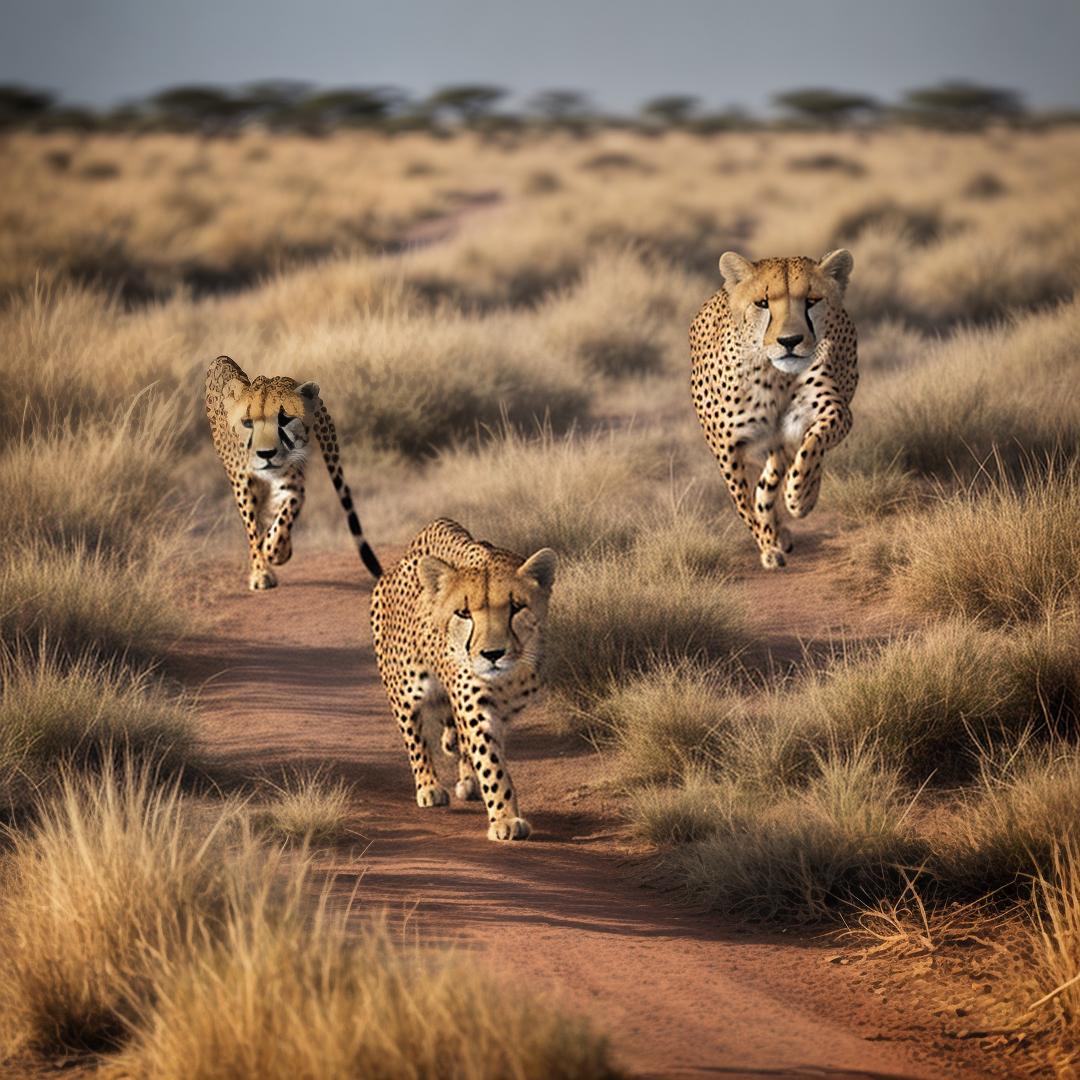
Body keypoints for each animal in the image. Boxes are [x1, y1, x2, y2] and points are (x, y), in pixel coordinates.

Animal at [206, 354, 384, 591]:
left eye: (285, 419)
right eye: (247, 422)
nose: (266, 454)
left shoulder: (291, 482)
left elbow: (284, 515)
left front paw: (276, 551)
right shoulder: (243, 483)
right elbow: (253, 526)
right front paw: (261, 571)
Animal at [371, 520, 557, 842]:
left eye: (516, 607)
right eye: (464, 613)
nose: (493, 654)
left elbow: (483, 751)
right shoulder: (473, 703)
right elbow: (491, 764)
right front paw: (505, 819)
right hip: (404, 687)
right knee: (414, 737)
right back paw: (429, 786)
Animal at [691, 249, 859, 570]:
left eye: (811, 301)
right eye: (762, 303)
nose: (789, 341)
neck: (774, 376)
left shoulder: (833, 411)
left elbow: (813, 444)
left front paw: (800, 496)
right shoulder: (726, 447)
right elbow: (742, 502)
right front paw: (768, 546)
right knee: (762, 488)